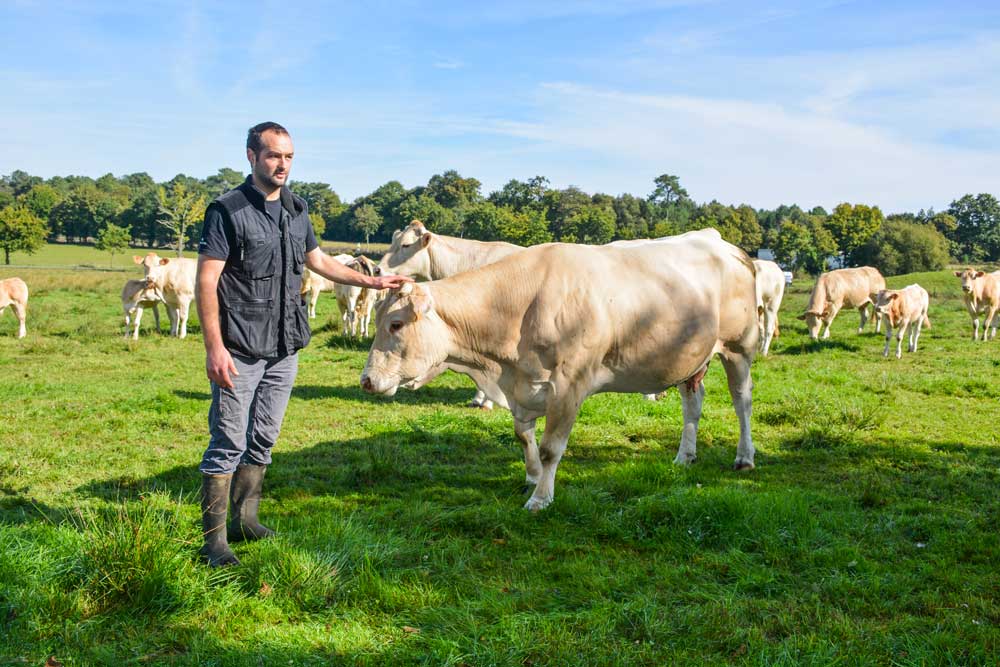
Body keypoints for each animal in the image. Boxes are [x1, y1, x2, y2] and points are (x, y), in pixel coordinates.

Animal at [362, 228, 756, 512]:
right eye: (379, 320)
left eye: (396, 324)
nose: (366, 380)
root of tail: (720, 241)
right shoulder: (522, 386)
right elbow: (524, 438)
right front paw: (533, 476)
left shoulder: (569, 385)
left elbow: (551, 447)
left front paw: (540, 497)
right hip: (692, 358)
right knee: (693, 402)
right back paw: (684, 456)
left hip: (739, 347)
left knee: (742, 401)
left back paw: (744, 457)